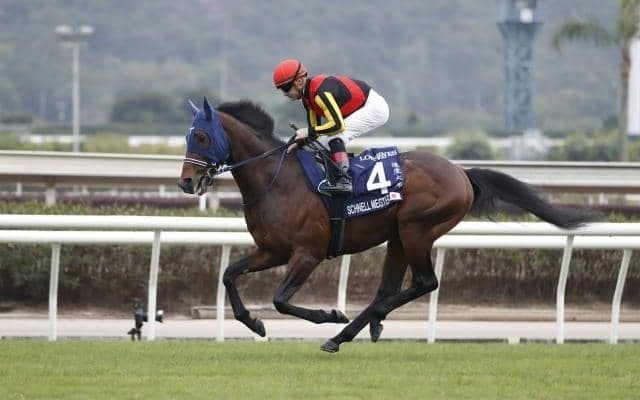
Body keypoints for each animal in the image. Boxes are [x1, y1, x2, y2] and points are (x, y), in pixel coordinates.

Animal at [178, 97, 594, 353]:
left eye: (202, 136)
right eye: (187, 136)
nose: (186, 182)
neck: (275, 179)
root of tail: (462, 173)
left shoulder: (308, 252)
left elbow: (280, 299)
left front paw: (329, 314)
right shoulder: (272, 250)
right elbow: (230, 274)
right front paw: (253, 323)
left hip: (417, 230)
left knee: (425, 282)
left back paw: (351, 327)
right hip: (398, 237)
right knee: (389, 288)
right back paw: (355, 330)